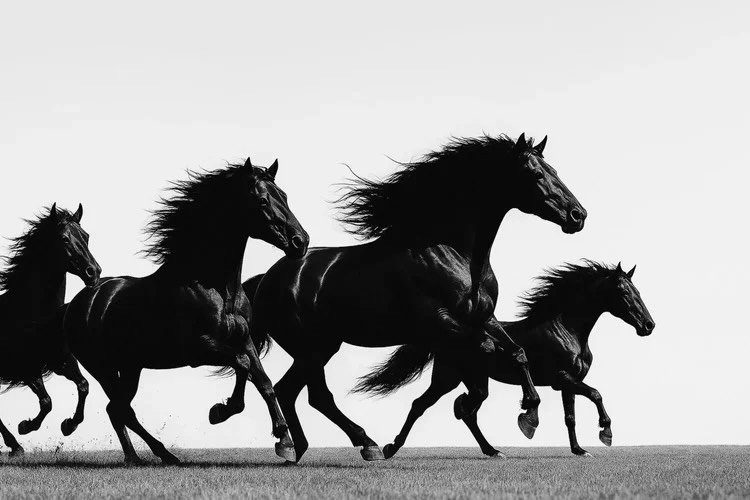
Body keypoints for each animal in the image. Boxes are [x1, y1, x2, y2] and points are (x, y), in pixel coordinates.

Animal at [0, 203, 101, 456]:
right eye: (64, 239)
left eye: (86, 236)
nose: (94, 272)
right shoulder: (26, 368)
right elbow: (47, 402)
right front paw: (25, 426)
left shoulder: (61, 362)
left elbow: (83, 386)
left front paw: (69, 425)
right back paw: (15, 444)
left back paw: (15, 445)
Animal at [63, 158, 309, 465]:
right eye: (262, 200)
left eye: (284, 196)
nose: (301, 242)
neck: (216, 287)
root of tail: (76, 303)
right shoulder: (199, 349)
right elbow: (242, 364)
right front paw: (221, 411)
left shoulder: (244, 339)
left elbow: (263, 381)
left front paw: (284, 440)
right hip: (102, 368)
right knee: (118, 409)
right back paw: (139, 454)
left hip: (131, 367)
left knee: (118, 409)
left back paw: (155, 456)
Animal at [244, 133, 587, 463]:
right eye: (535, 173)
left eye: (554, 170)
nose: (578, 215)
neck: (455, 253)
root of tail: (266, 279)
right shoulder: (439, 321)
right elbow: (484, 351)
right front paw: (486, 408)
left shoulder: (484, 318)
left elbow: (517, 352)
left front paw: (528, 410)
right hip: (310, 348)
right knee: (314, 396)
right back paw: (360, 444)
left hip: (322, 347)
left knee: (291, 392)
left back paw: (298, 448)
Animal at [354, 261, 655, 458]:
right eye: (624, 293)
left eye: (638, 292)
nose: (649, 325)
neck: (566, 329)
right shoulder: (562, 378)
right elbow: (596, 394)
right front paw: (606, 433)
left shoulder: (568, 383)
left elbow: (571, 416)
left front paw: (579, 450)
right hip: (446, 378)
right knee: (422, 405)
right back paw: (390, 448)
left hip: (475, 380)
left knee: (467, 412)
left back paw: (492, 450)